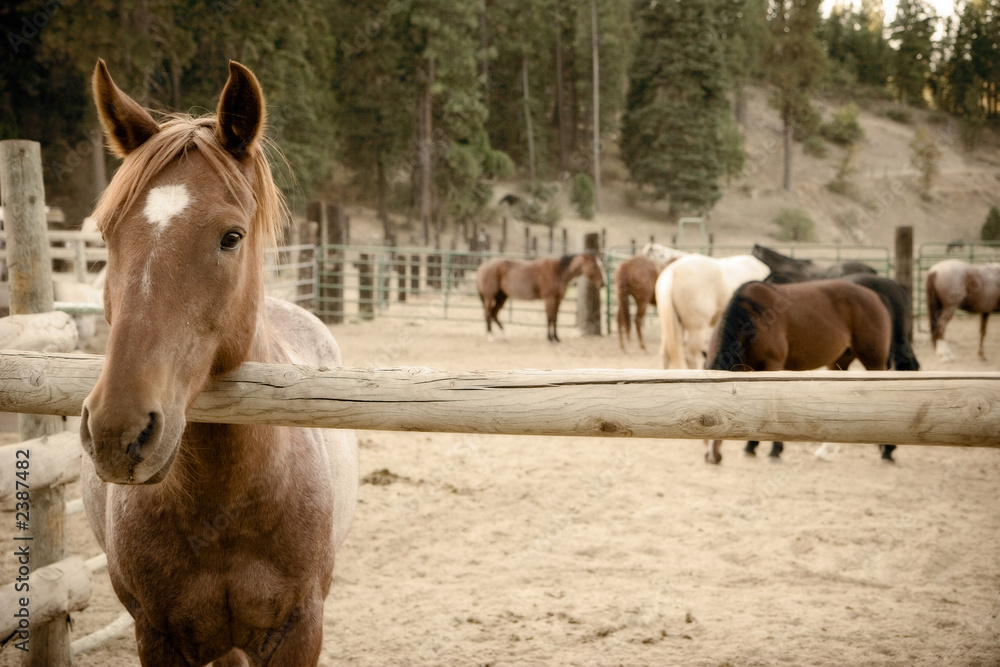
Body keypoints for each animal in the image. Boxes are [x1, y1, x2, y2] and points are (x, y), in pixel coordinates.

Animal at [477, 252, 606, 342]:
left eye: (601, 265)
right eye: (594, 267)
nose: (603, 283)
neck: (558, 271)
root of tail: (483, 266)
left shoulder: (558, 299)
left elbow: (555, 318)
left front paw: (556, 338)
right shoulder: (549, 299)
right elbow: (550, 318)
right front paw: (550, 338)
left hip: (502, 297)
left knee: (494, 314)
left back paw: (504, 335)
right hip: (489, 297)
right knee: (488, 314)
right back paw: (490, 336)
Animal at [703, 279, 892, 464]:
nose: (712, 457)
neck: (752, 321)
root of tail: (875, 296)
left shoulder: (773, 365)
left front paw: (775, 450)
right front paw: (751, 446)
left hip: (874, 362)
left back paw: (887, 451)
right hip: (840, 362)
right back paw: (825, 451)